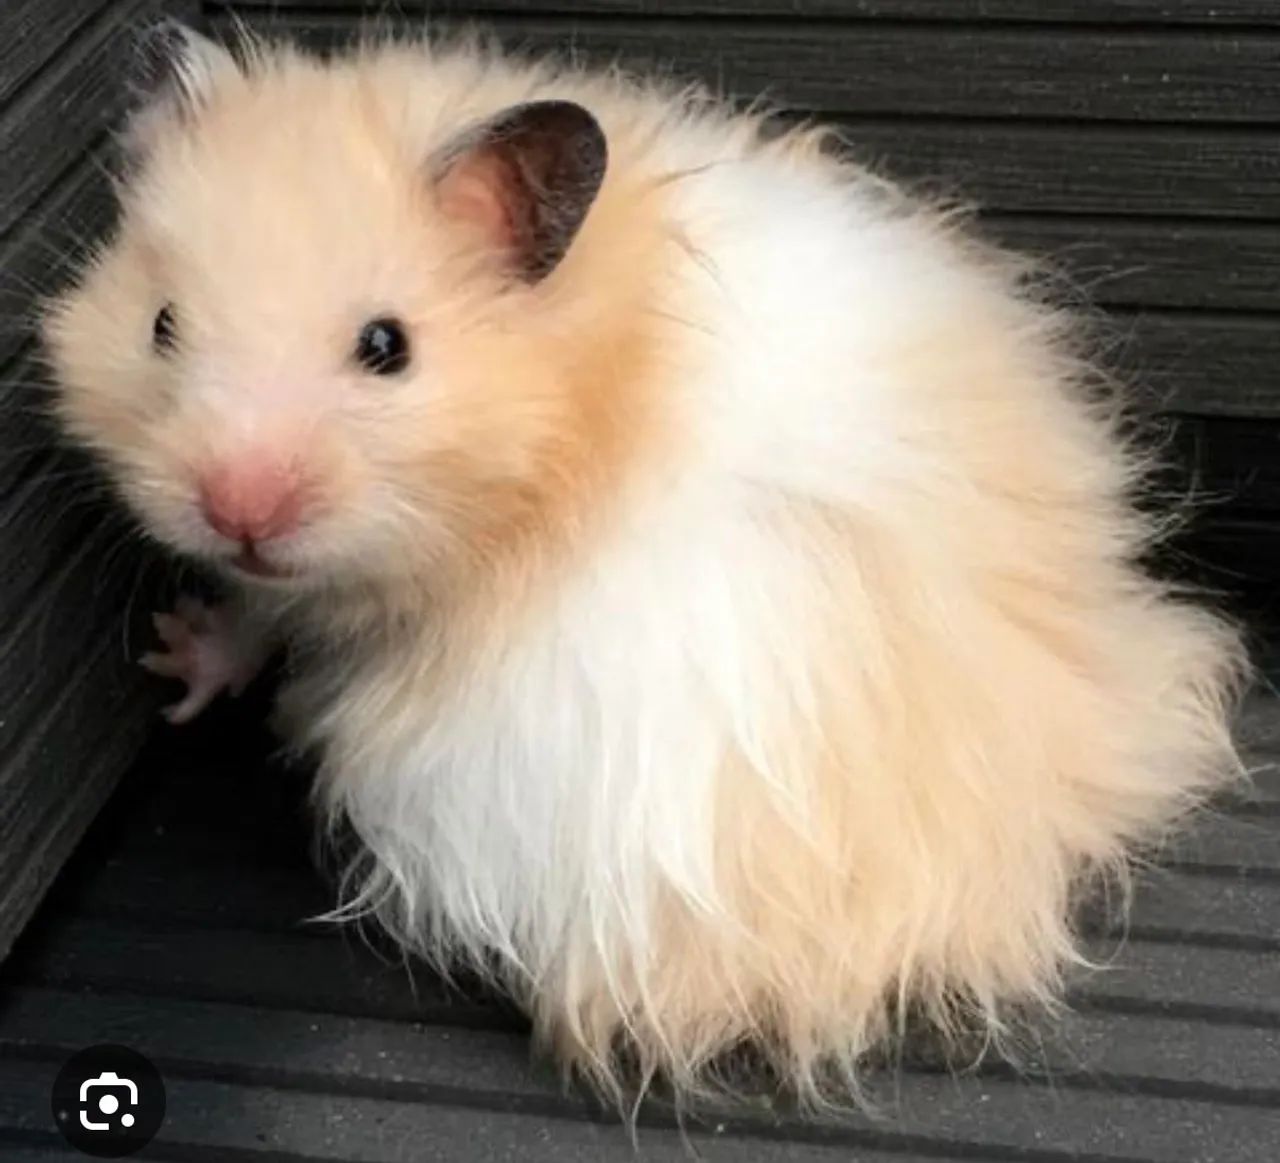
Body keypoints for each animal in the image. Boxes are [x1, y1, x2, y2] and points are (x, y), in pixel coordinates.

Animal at [44, 24, 1246, 1106]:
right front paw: (170, 659)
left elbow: (274, 616)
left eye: (387, 347)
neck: (566, 412)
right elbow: (253, 610)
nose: (236, 509)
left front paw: (176, 653)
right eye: (160, 325)